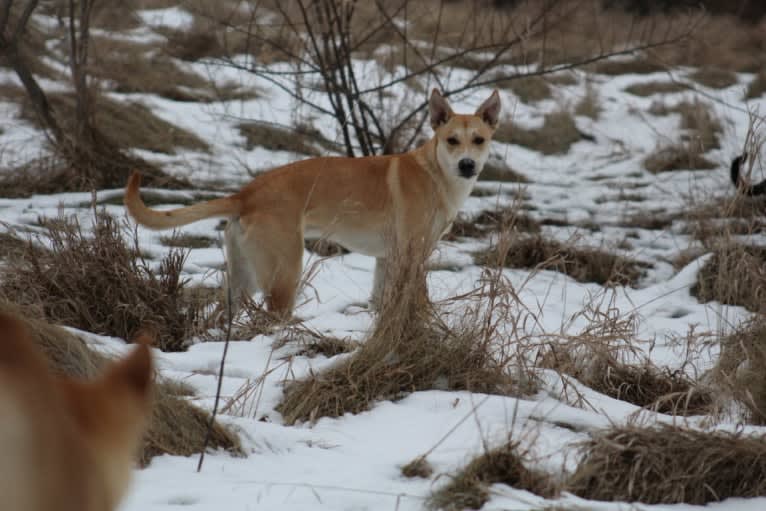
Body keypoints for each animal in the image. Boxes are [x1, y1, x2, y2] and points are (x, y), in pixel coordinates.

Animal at [123, 90, 500, 318]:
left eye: (479, 140)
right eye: (452, 140)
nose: (468, 165)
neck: (437, 174)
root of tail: (247, 193)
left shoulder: (387, 260)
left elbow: (381, 304)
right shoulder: (412, 256)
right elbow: (419, 300)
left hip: (242, 279)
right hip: (285, 275)